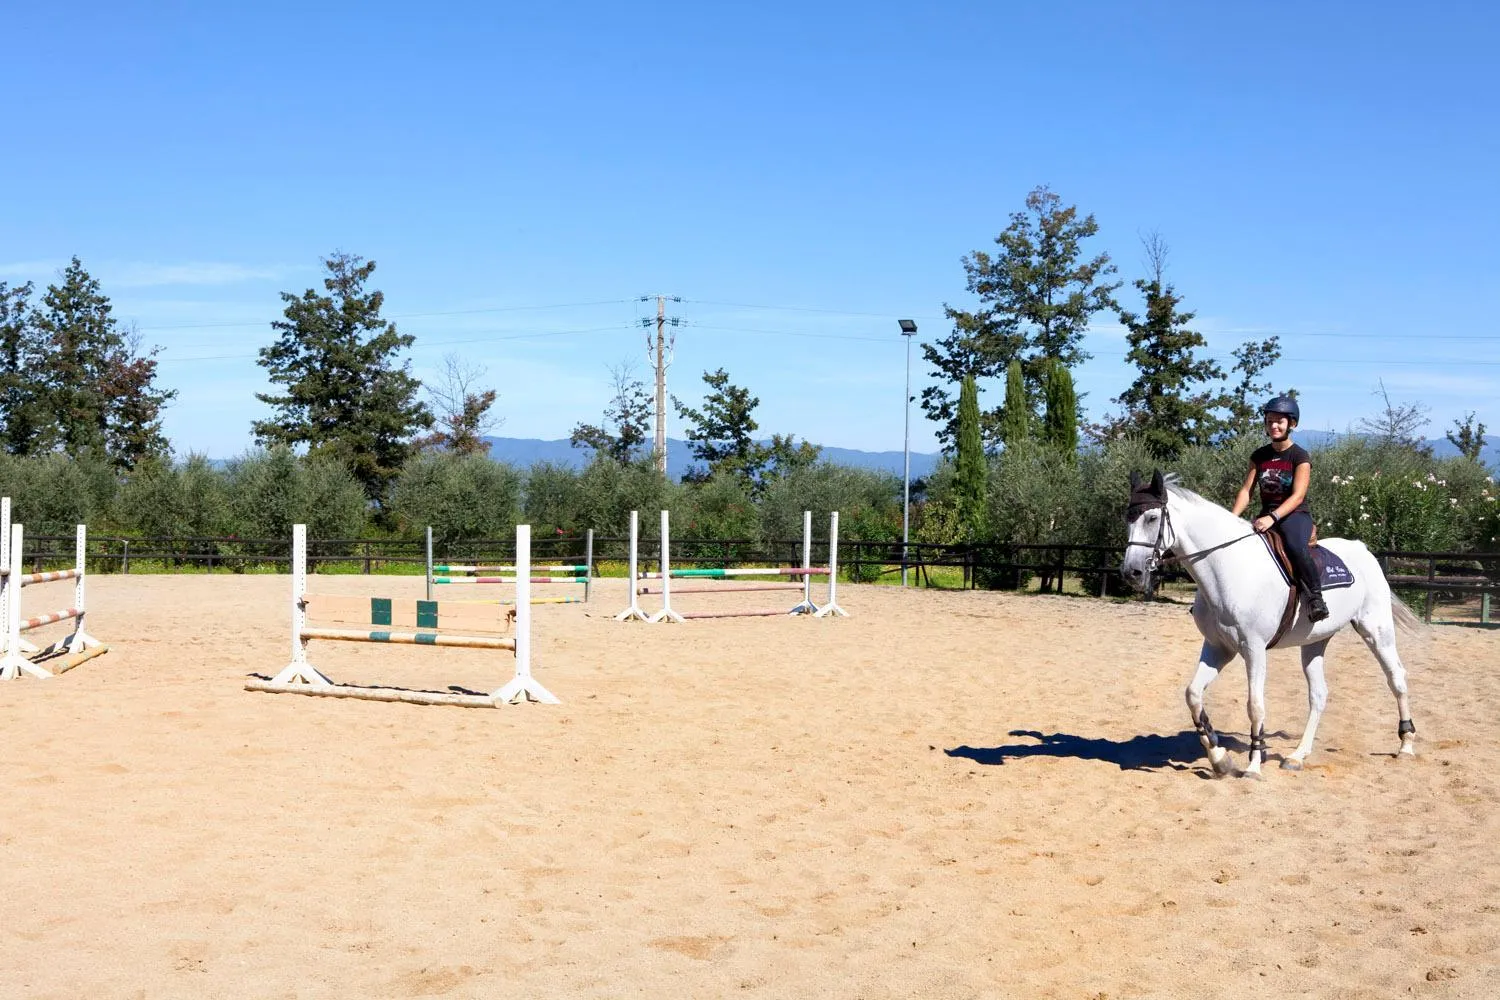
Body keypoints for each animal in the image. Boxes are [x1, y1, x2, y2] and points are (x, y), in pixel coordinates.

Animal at [1119, 470, 1418, 779]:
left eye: (1152, 518)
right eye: (1127, 519)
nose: (1132, 572)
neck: (1227, 567)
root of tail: (1362, 549)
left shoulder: (1253, 649)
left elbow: (1255, 706)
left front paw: (1253, 765)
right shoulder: (1218, 648)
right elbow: (1193, 695)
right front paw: (1219, 758)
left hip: (1376, 630)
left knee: (1396, 677)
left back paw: (1406, 745)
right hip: (1314, 643)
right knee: (1319, 695)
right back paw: (1297, 756)